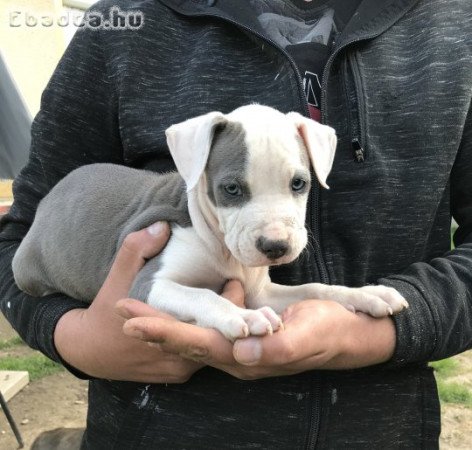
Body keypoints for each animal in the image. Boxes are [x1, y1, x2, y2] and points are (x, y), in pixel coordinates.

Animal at [12, 104, 408, 338]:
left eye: (299, 184)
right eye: (231, 189)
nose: (275, 246)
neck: (221, 247)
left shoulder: (260, 291)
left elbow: (316, 288)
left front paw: (366, 294)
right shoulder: (145, 285)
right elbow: (202, 294)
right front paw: (242, 317)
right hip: (29, 268)